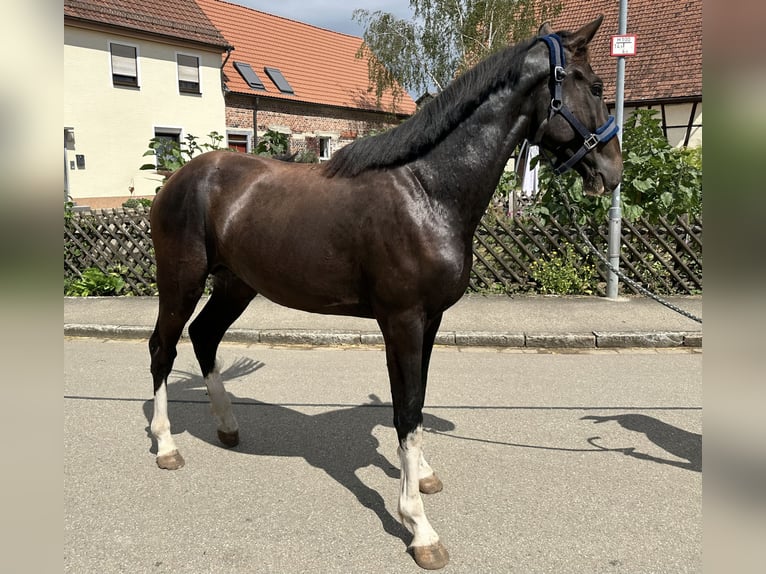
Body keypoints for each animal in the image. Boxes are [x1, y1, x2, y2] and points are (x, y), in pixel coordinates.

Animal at [148, 18, 624, 572]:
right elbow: (406, 409)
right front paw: (419, 528)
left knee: (204, 337)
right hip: (180, 281)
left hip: (236, 283)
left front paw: (422, 476)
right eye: (596, 86)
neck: (427, 190)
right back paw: (165, 446)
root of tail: (179, 178)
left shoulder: (430, 321)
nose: (611, 172)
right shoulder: (403, 320)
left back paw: (227, 426)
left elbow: (415, 403)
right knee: (164, 347)